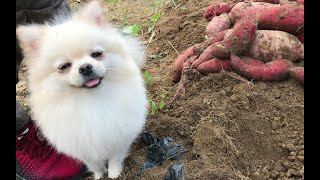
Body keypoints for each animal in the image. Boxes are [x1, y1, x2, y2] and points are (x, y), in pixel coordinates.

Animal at [15, 1, 148, 179]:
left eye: (97, 54)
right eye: (64, 66)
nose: (85, 67)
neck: (90, 101)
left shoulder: (119, 134)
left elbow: (115, 157)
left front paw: (114, 172)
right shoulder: (82, 146)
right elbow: (94, 164)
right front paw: (98, 175)